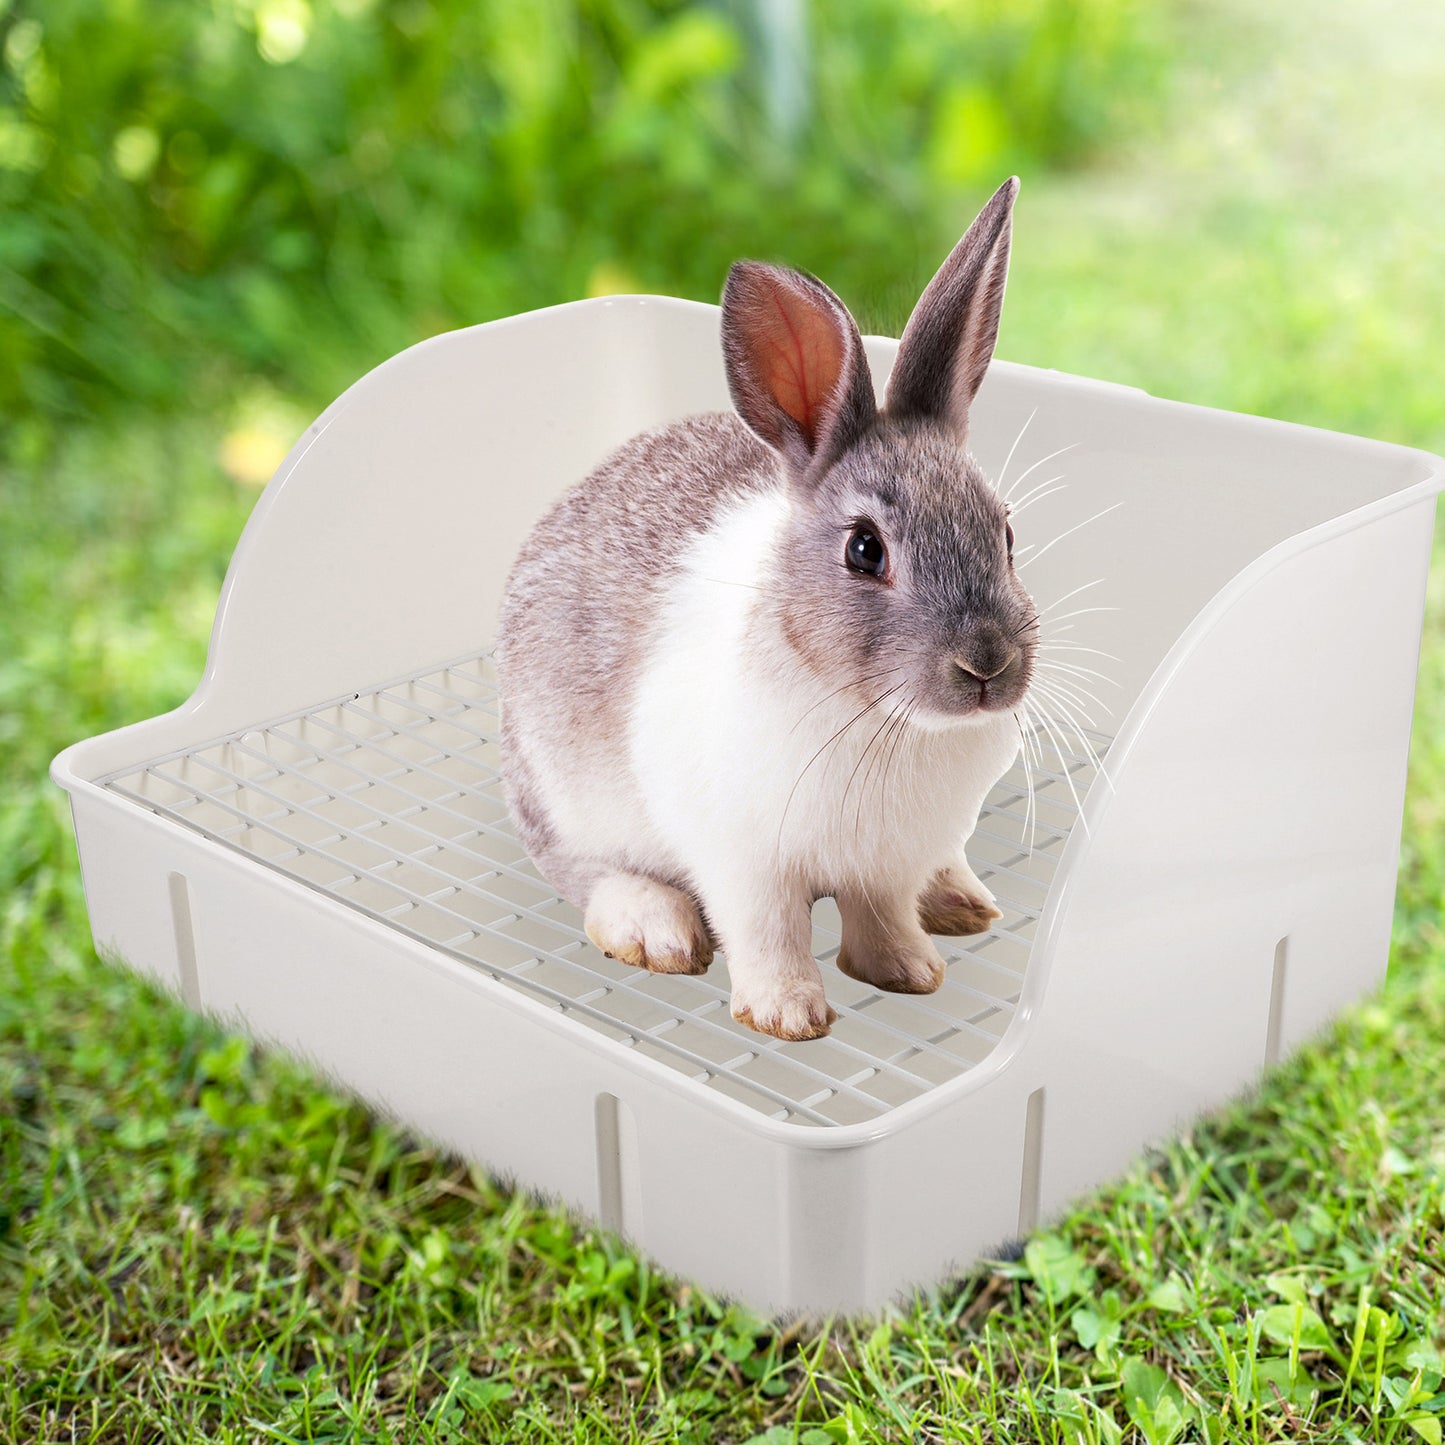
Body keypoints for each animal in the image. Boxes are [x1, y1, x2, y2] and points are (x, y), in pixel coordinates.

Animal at [496, 177, 1036, 1041]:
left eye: (1007, 533)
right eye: (864, 550)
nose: (987, 664)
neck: (878, 720)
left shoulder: (884, 863)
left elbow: (881, 915)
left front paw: (907, 971)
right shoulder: (742, 859)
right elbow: (768, 930)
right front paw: (787, 1015)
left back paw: (957, 900)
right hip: (561, 793)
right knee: (581, 868)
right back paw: (654, 929)